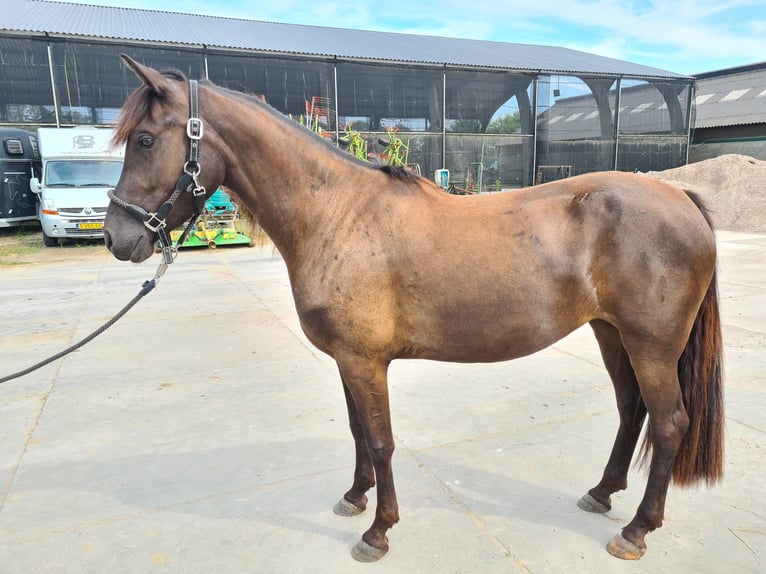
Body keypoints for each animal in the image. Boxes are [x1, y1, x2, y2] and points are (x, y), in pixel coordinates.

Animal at [103, 56, 728, 564]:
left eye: (146, 140)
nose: (115, 237)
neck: (337, 214)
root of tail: (680, 197)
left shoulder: (365, 362)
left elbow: (381, 440)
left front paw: (379, 531)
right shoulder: (347, 360)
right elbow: (359, 431)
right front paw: (355, 498)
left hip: (651, 345)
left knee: (669, 423)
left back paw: (637, 530)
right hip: (612, 334)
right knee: (630, 410)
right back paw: (601, 494)